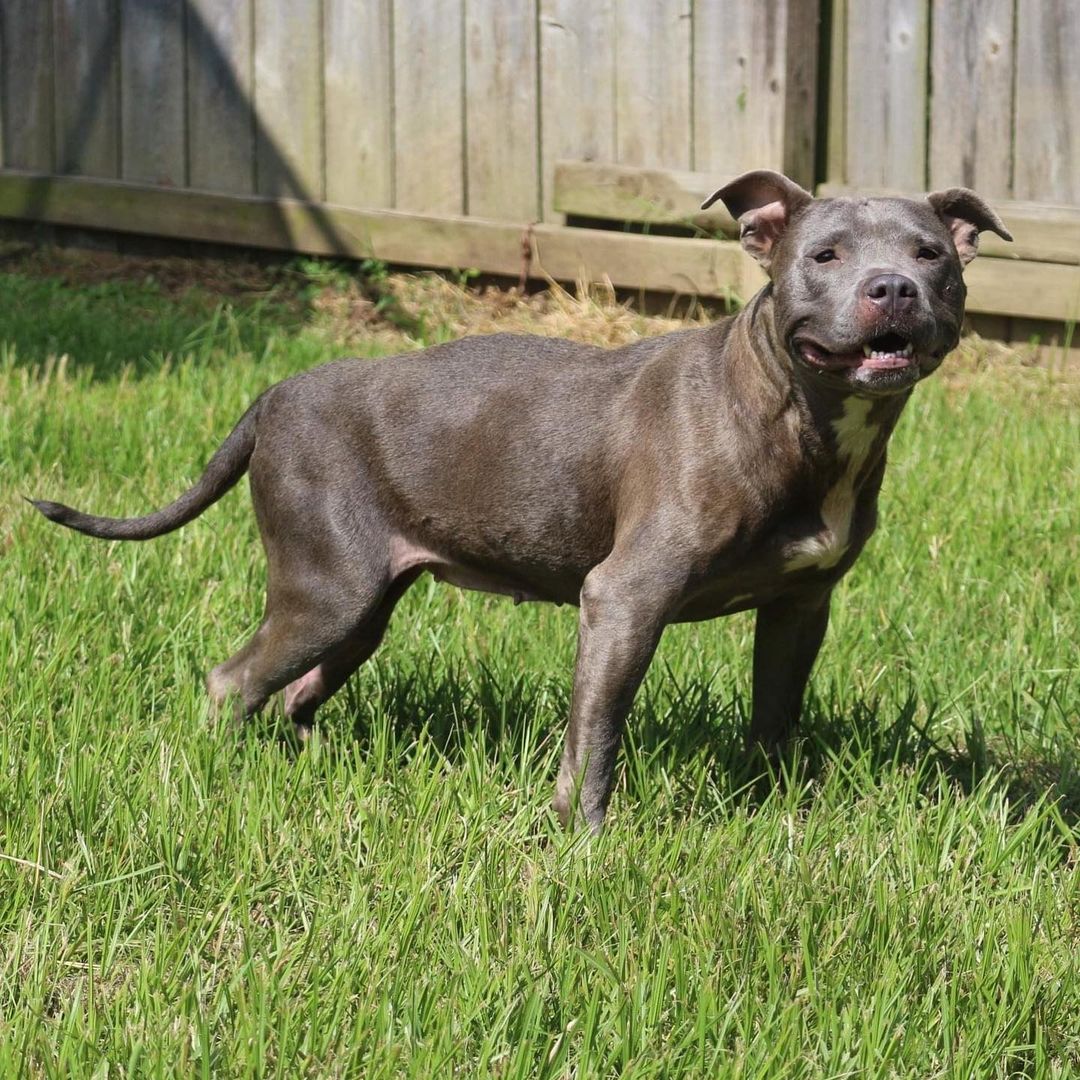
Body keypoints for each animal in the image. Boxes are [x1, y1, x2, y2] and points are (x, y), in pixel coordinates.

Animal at [33, 170, 1010, 825]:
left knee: (292, 690)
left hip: (362, 606)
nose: (893, 289)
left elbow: (776, 718)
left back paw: (306, 763)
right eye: (824, 255)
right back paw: (222, 769)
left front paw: (777, 810)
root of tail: (275, 396)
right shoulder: (625, 599)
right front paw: (584, 837)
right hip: (327, 591)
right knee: (232, 681)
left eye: (930, 253)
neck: (792, 410)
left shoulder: (801, 606)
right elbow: (597, 735)